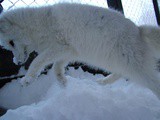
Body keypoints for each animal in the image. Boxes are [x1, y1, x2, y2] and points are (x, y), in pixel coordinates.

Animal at [0, 3, 160, 99]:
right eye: (8, 46)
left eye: (11, 42)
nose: (17, 62)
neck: (39, 24)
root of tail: (138, 30)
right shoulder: (69, 51)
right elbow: (56, 66)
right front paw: (62, 82)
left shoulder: (60, 47)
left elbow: (37, 61)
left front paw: (27, 79)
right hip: (111, 61)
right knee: (121, 73)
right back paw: (103, 81)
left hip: (133, 66)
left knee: (154, 83)